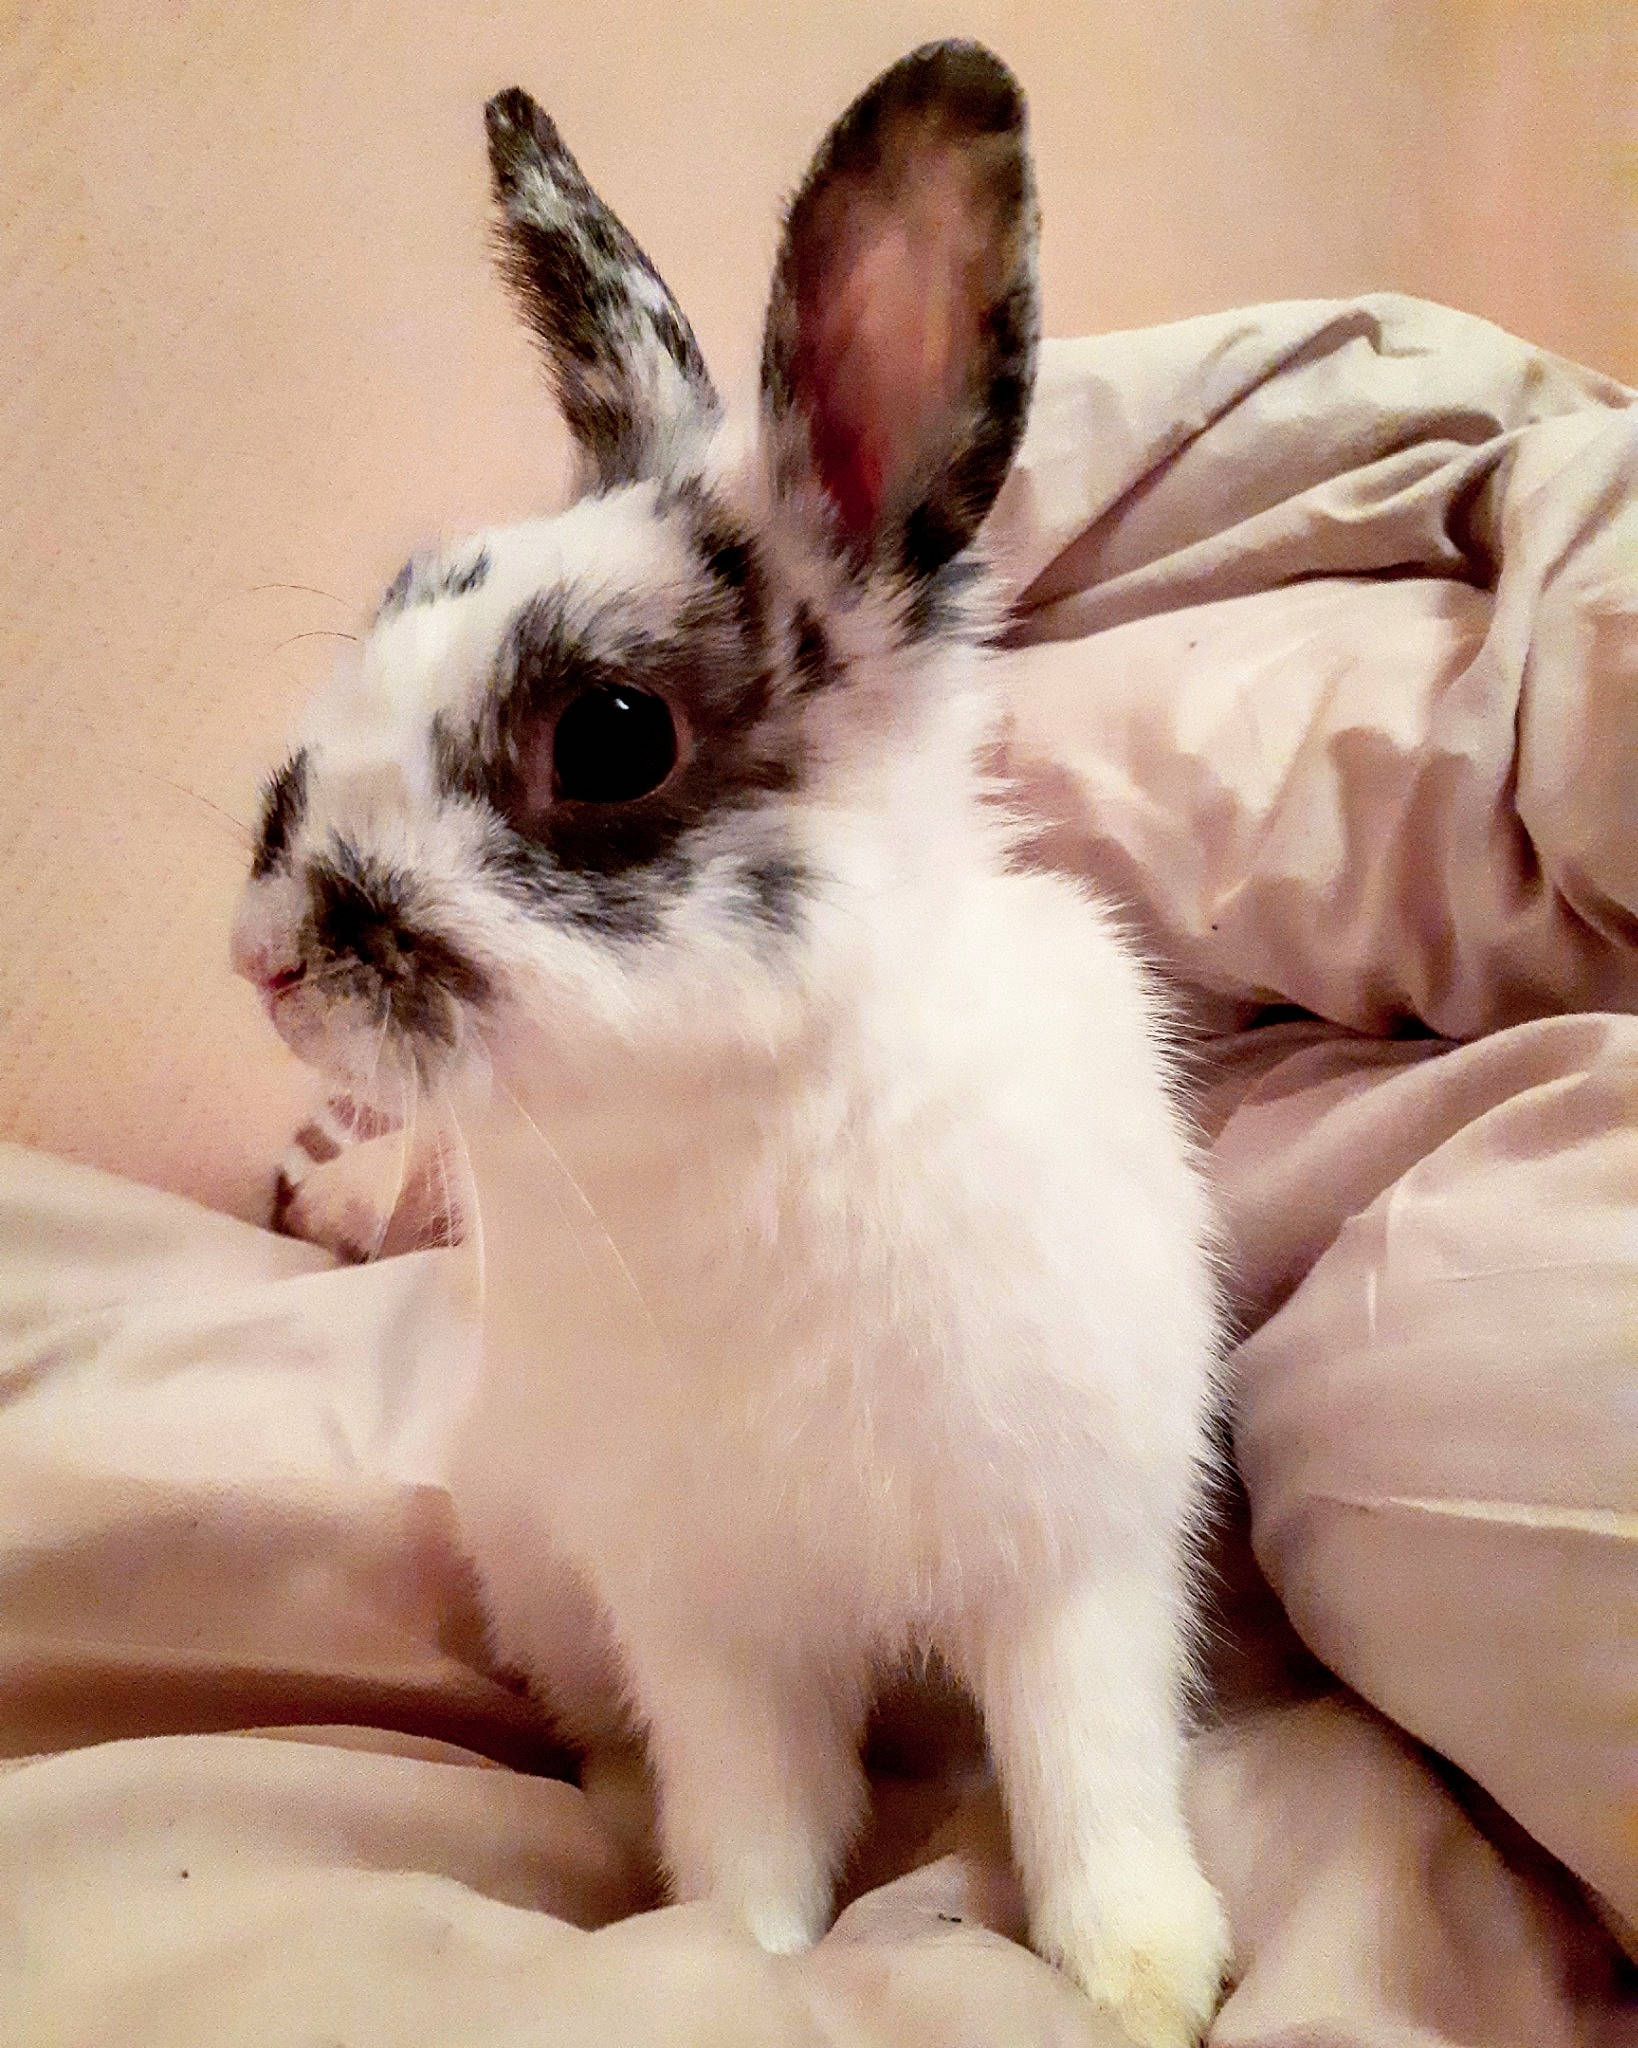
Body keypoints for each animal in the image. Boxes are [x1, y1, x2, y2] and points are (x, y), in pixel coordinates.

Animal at [231, 42, 1230, 2048]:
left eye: (611, 736)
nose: (274, 955)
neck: (748, 1112)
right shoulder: (702, 1614)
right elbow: (754, 1809)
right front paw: (733, 1950)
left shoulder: (1077, 1556)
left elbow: (1088, 1772)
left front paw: (1147, 1975)